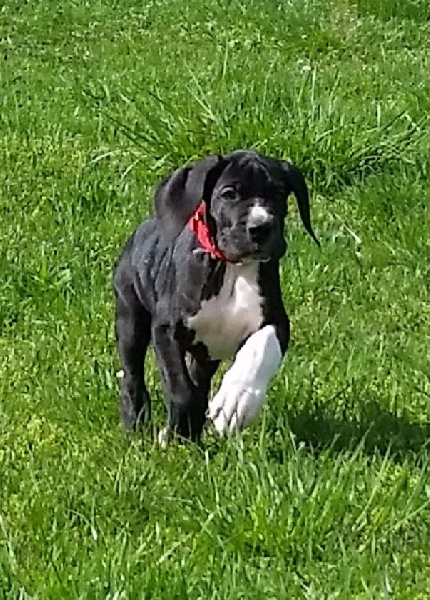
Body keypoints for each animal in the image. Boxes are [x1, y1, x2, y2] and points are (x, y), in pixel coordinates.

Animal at [113, 149, 319, 443]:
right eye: (229, 194)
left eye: (279, 193)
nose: (261, 226)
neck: (232, 268)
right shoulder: (166, 330)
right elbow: (180, 389)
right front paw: (177, 433)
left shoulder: (275, 321)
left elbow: (261, 349)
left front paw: (238, 399)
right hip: (130, 315)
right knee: (132, 375)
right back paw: (135, 420)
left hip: (205, 355)